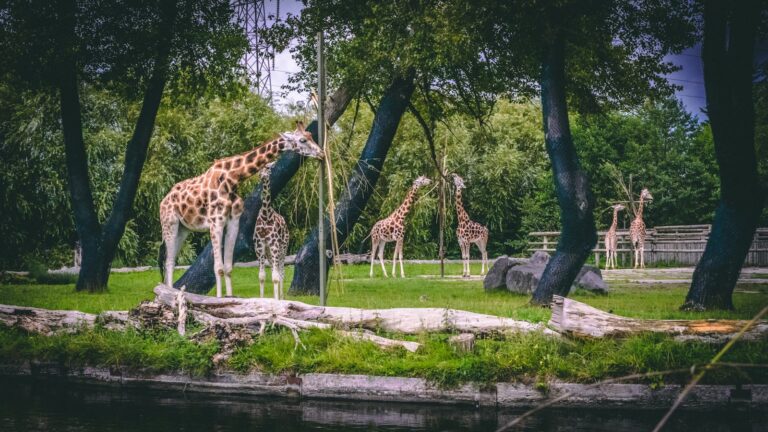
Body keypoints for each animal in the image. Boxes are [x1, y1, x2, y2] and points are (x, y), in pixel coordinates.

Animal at [254, 162, 290, 300]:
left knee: (281, 272)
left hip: (283, 248)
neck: (266, 215)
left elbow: (275, 277)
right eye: (258, 168)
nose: (262, 175)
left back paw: (281, 298)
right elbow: (262, 276)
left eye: (268, 167)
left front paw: (276, 301)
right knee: (277, 272)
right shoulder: (260, 247)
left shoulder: (274, 245)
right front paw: (262, 300)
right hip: (269, 253)